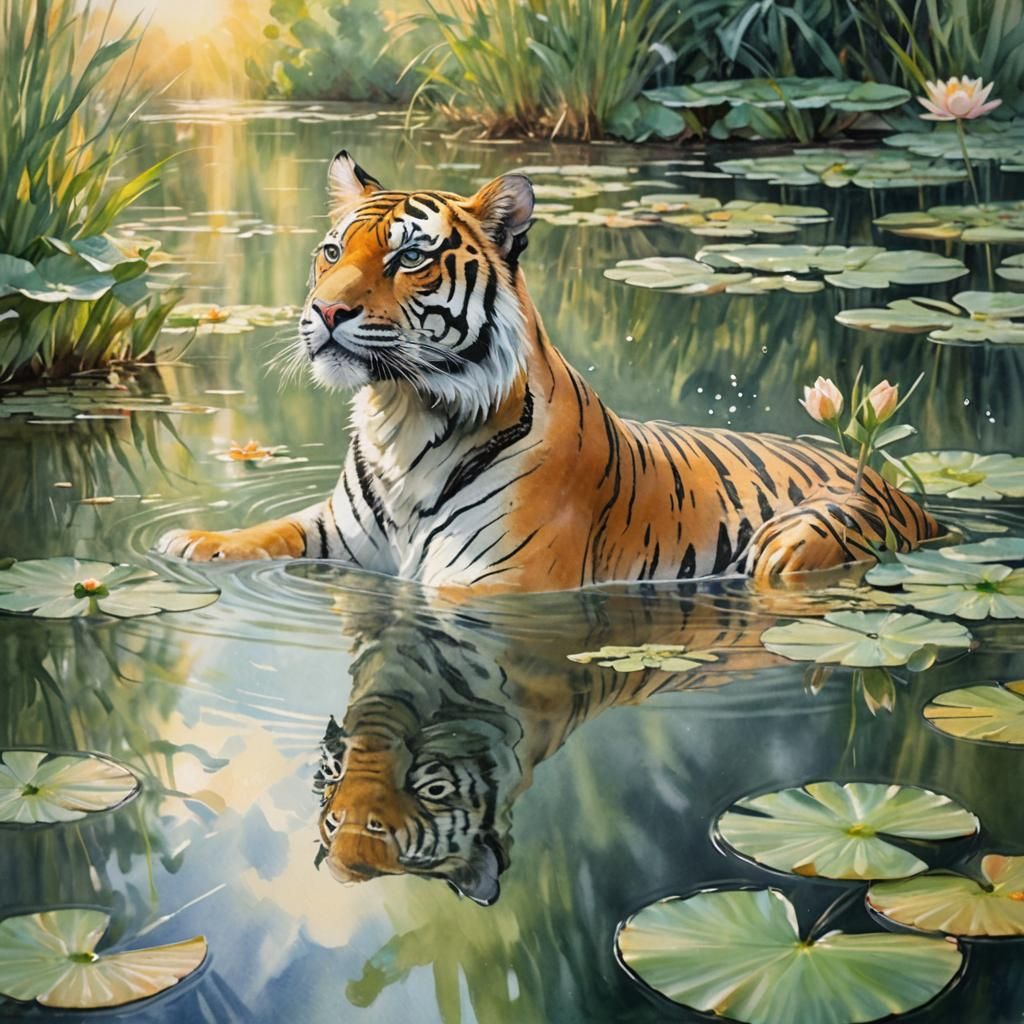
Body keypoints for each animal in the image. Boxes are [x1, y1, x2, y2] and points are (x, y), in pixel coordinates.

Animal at [157, 150, 942, 592]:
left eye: (408, 258)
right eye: (330, 251)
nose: (324, 311)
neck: (399, 413)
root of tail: (903, 492)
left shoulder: (492, 582)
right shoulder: (339, 533)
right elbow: (270, 531)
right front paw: (192, 541)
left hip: (799, 540)